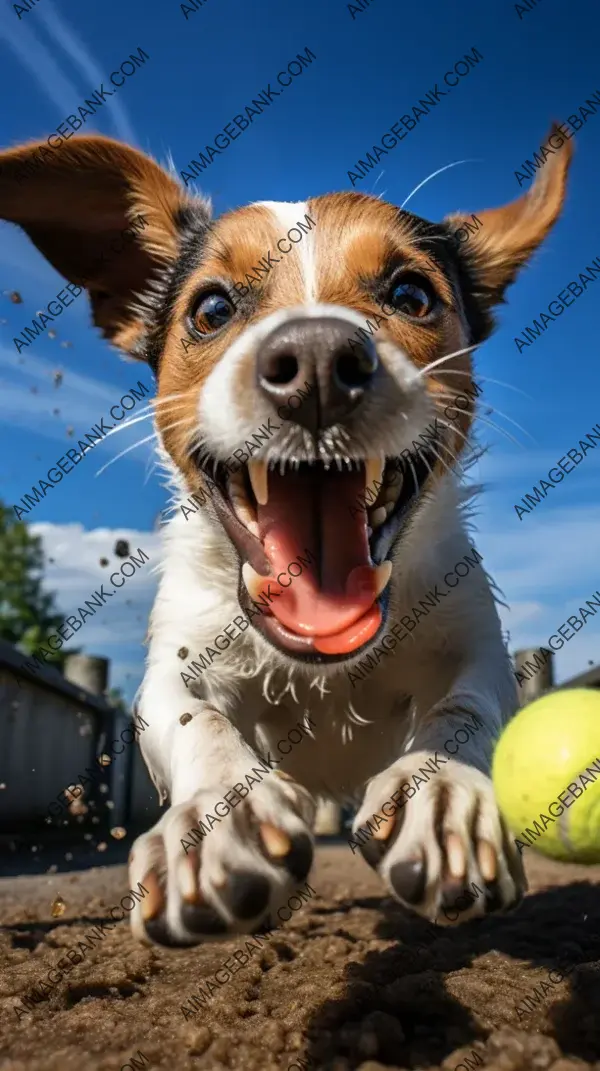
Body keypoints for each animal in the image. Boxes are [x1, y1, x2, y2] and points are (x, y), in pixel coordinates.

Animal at [0, 123, 570, 946]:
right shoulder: (174, 667)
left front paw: (444, 796)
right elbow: (196, 716)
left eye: (411, 294)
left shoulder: (479, 651)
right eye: (210, 309)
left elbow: (466, 713)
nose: (319, 362)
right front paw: (217, 820)